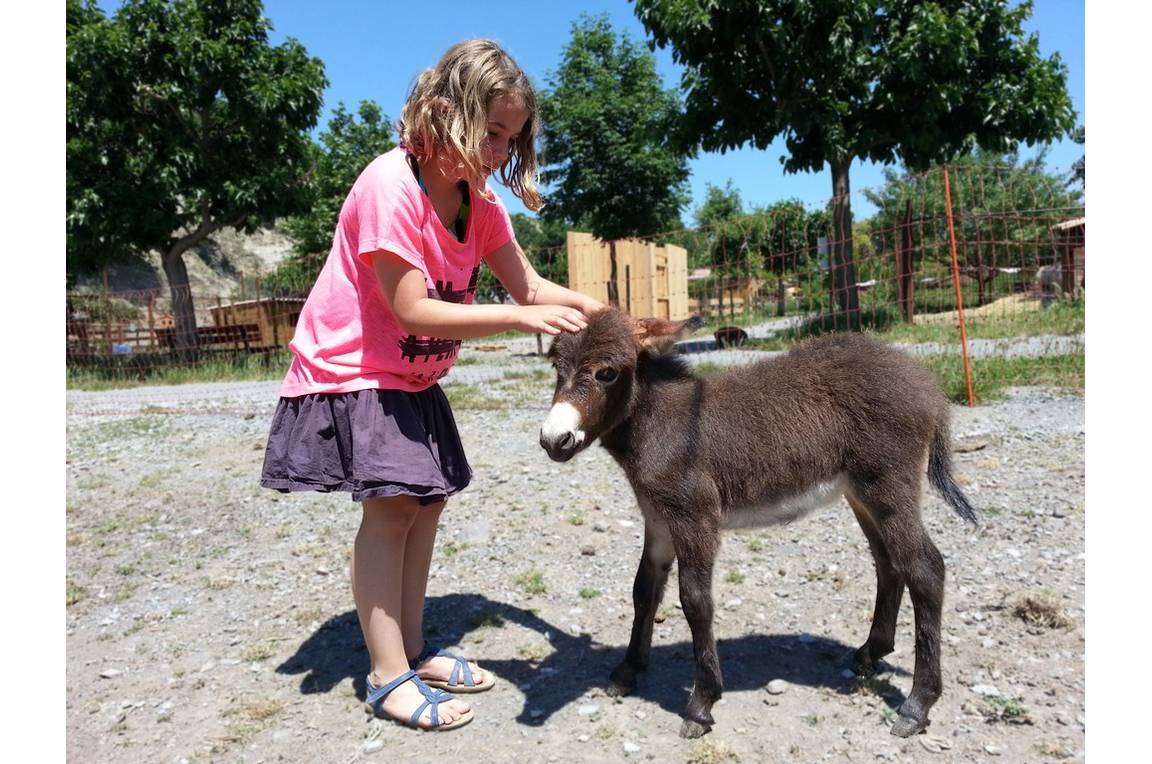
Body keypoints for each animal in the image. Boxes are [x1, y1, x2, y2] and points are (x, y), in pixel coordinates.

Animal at [539, 308, 972, 737]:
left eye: (607, 373)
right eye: (557, 367)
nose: (553, 440)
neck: (660, 424)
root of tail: (925, 382)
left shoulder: (695, 519)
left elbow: (695, 601)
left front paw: (702, 703)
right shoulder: (658, 521)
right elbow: (644, 591)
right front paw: (627, 671)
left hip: (888, 486)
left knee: (925, 568)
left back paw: (917, 705)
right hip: (861, 494)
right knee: (889, 563)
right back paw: (870, 653)